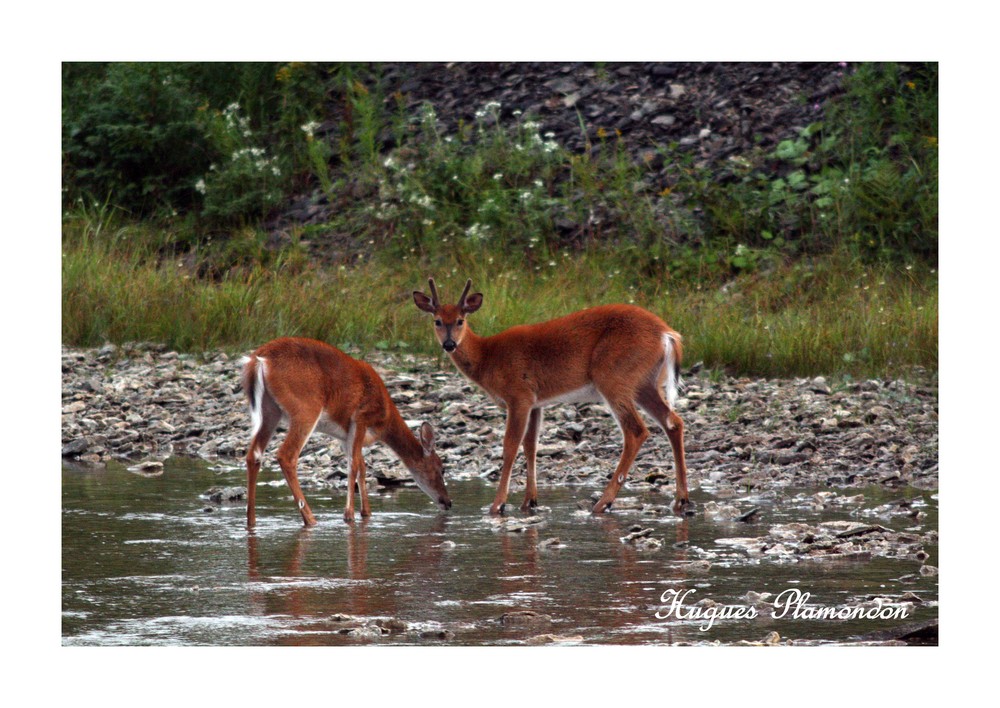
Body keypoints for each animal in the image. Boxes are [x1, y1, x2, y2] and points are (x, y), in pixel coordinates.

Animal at [240, 336, 452, 524]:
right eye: (441, 469)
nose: (448, 502)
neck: (385, 419)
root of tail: (259, 359)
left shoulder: (344, 436)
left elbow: (361, 466)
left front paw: (366, 512)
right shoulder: (361, 418)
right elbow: (355, 466)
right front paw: (349, 515)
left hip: (270, 411)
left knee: (254, 454)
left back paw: (251, 521)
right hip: (305, 407)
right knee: (286, 455)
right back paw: (311, 519)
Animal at [412, 280, 688, 516]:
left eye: (460, 320)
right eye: (437, 321)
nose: (449, 344)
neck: (487, 357)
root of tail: (667, 334)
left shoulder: (519, 395)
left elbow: (510, 445)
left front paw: (498, 505)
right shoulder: (536, 403)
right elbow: (530, 445)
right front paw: (529, 501)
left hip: (614, 376)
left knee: (636, 431)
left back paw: (603, 503)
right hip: (644, 383)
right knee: (673, 422)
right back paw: (681, 500)